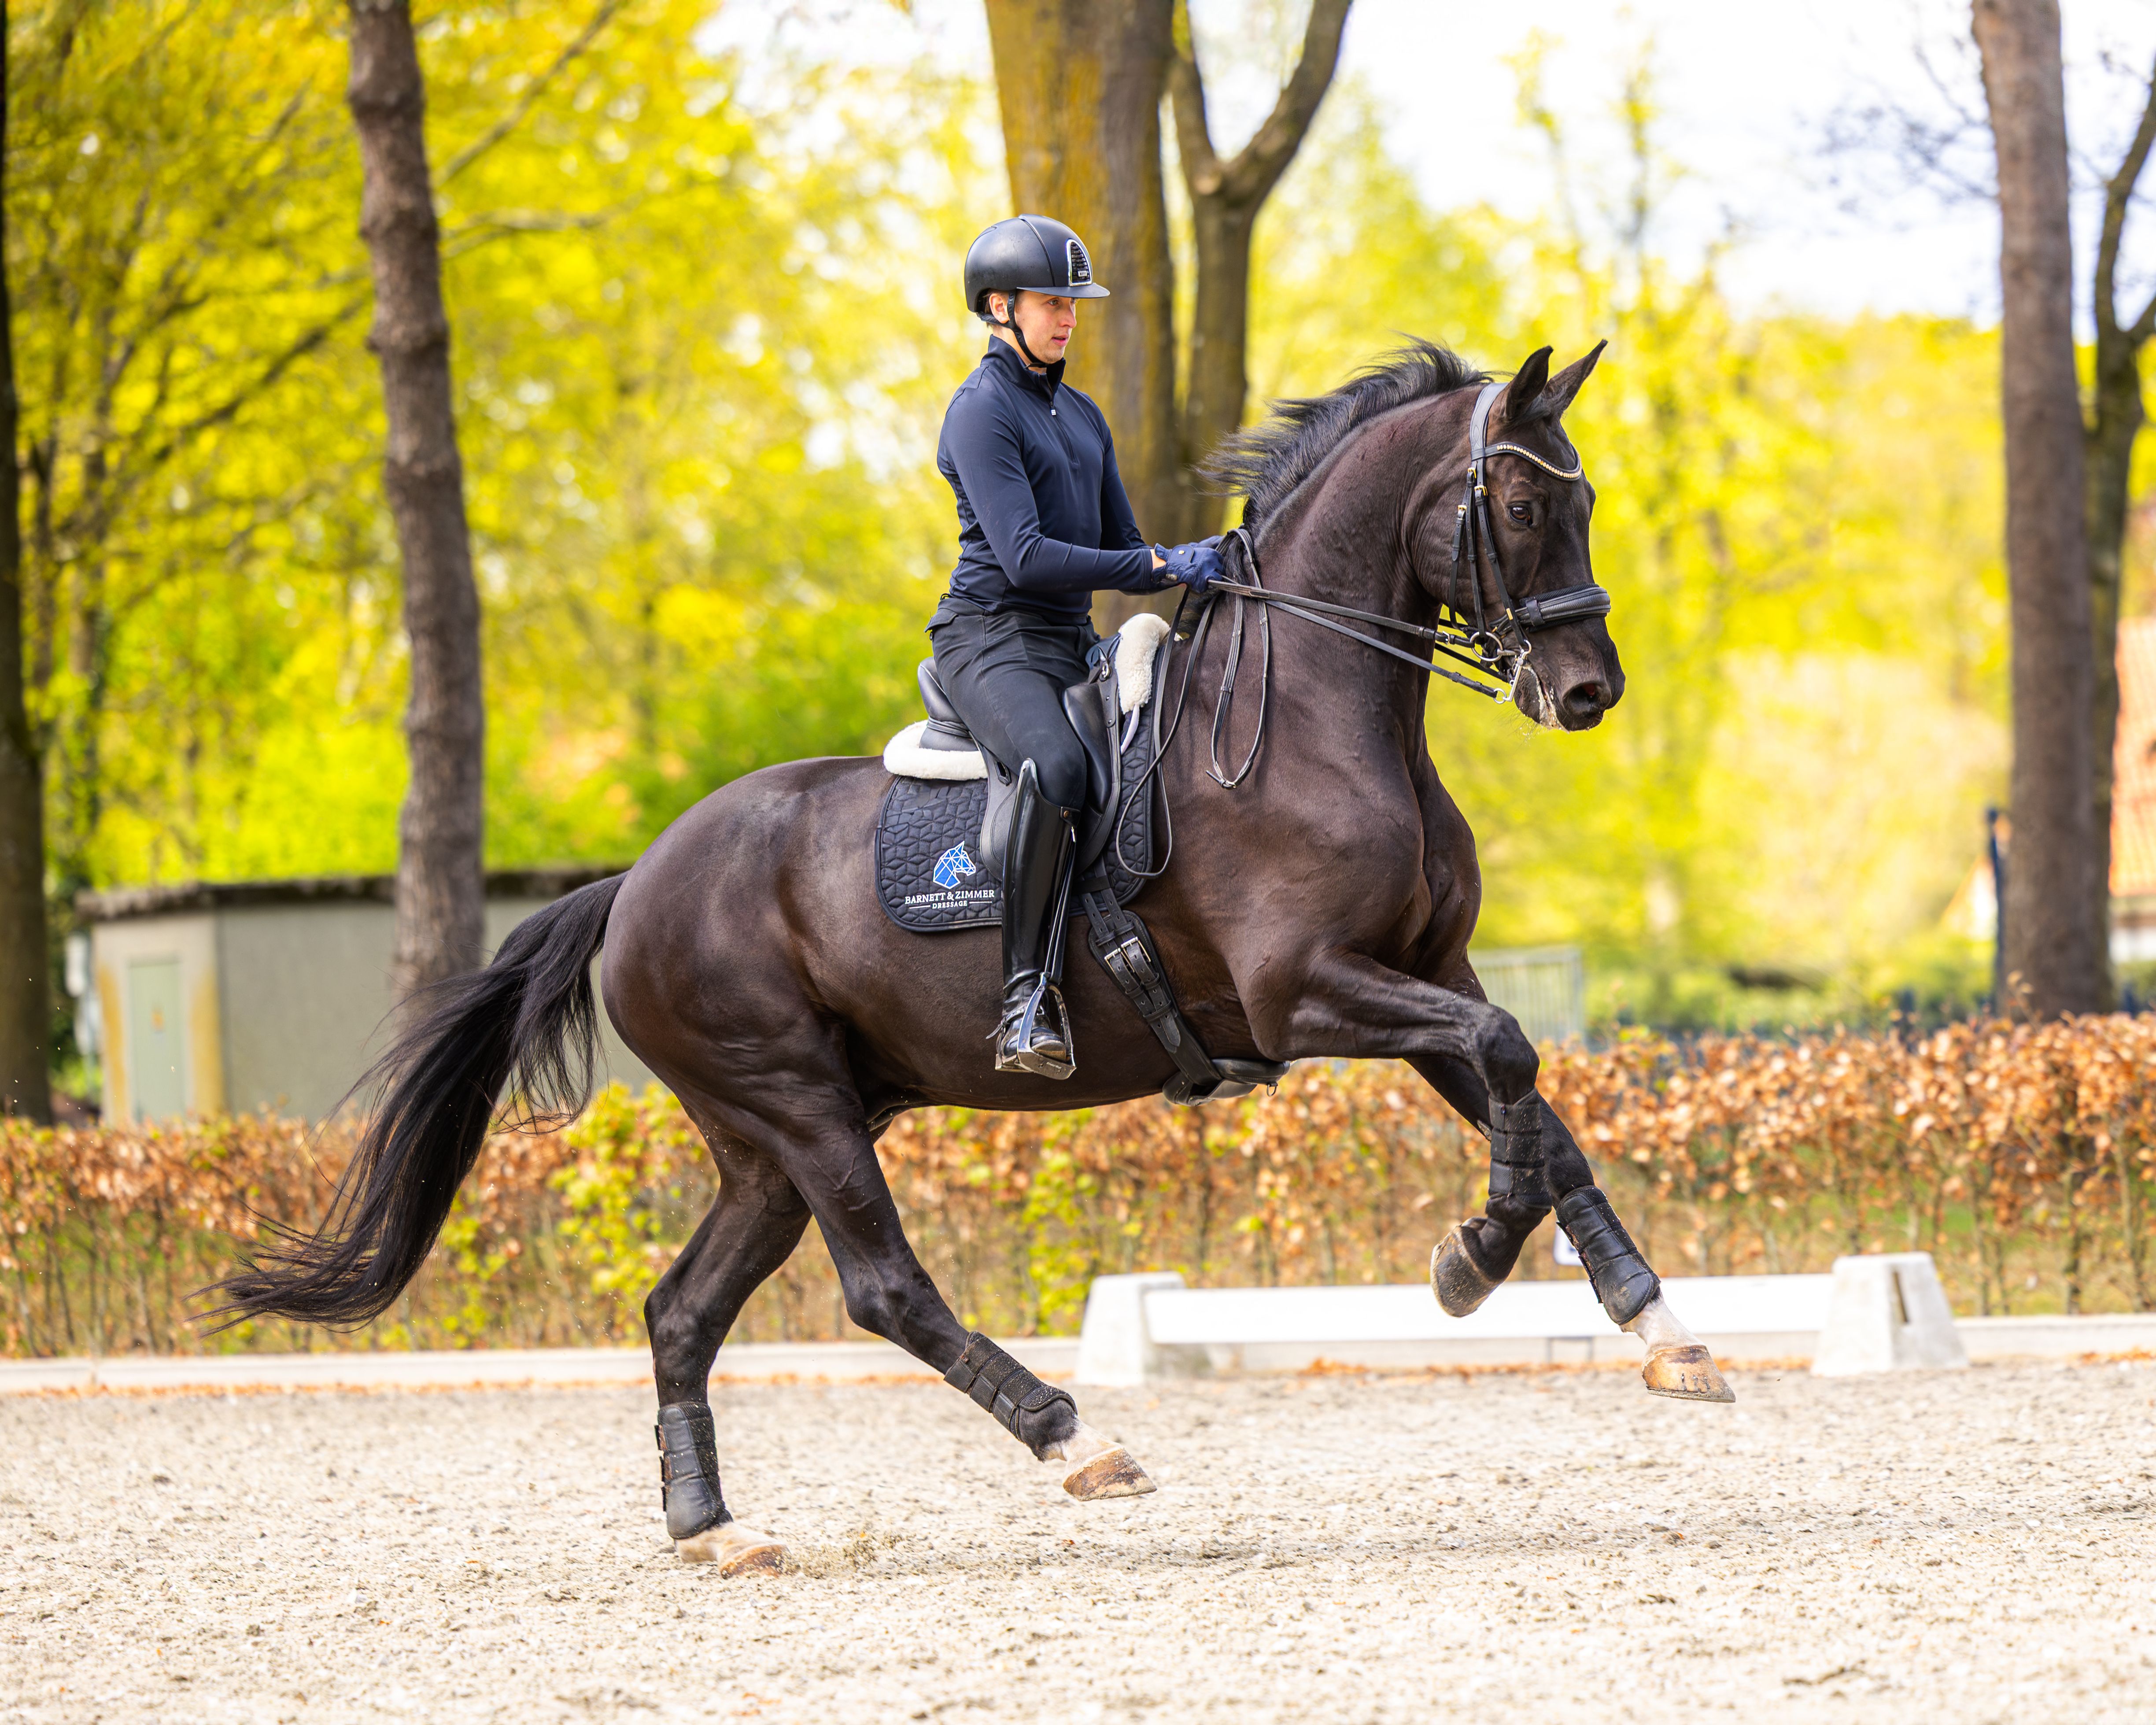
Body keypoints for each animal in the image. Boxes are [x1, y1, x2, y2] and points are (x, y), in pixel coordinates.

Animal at [216, 339, 1733, 1575]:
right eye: (1523, 506)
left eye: (1585, 500)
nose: (1586, 692)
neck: (1313, 715)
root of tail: (634, 881)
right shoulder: (1306, 993)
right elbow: (1512, 1061)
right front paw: (1470, 1260)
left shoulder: (1429, 973)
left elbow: (1533, 1100)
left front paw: (1655, 1328)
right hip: (797, 1104)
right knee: (885, 1286)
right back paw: (1075, 1441)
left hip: (766, 1140)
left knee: (681, 1308)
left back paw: (714, 1529)